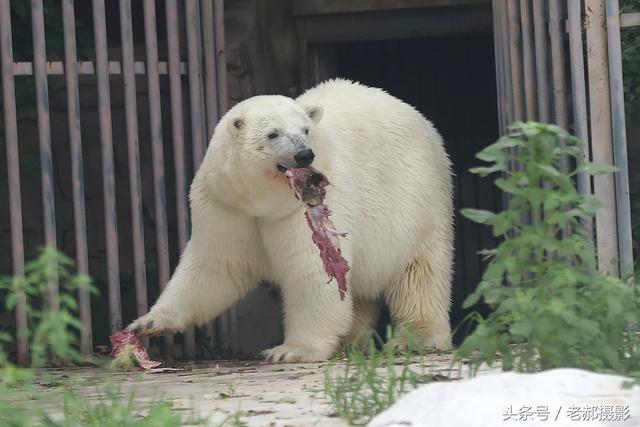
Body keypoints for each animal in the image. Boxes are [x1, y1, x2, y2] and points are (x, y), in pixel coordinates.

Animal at [127, 79, 452, 362]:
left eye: (306, 130)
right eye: (273, 133)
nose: (304, 155)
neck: (262, 203)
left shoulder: (305, 209)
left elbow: (311, 269)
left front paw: (291, 350)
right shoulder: (226, 206)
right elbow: (214, 265)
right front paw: (148, 323)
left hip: (418, 203)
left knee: (420, 272)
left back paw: (415, 337)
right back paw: (350, 341)